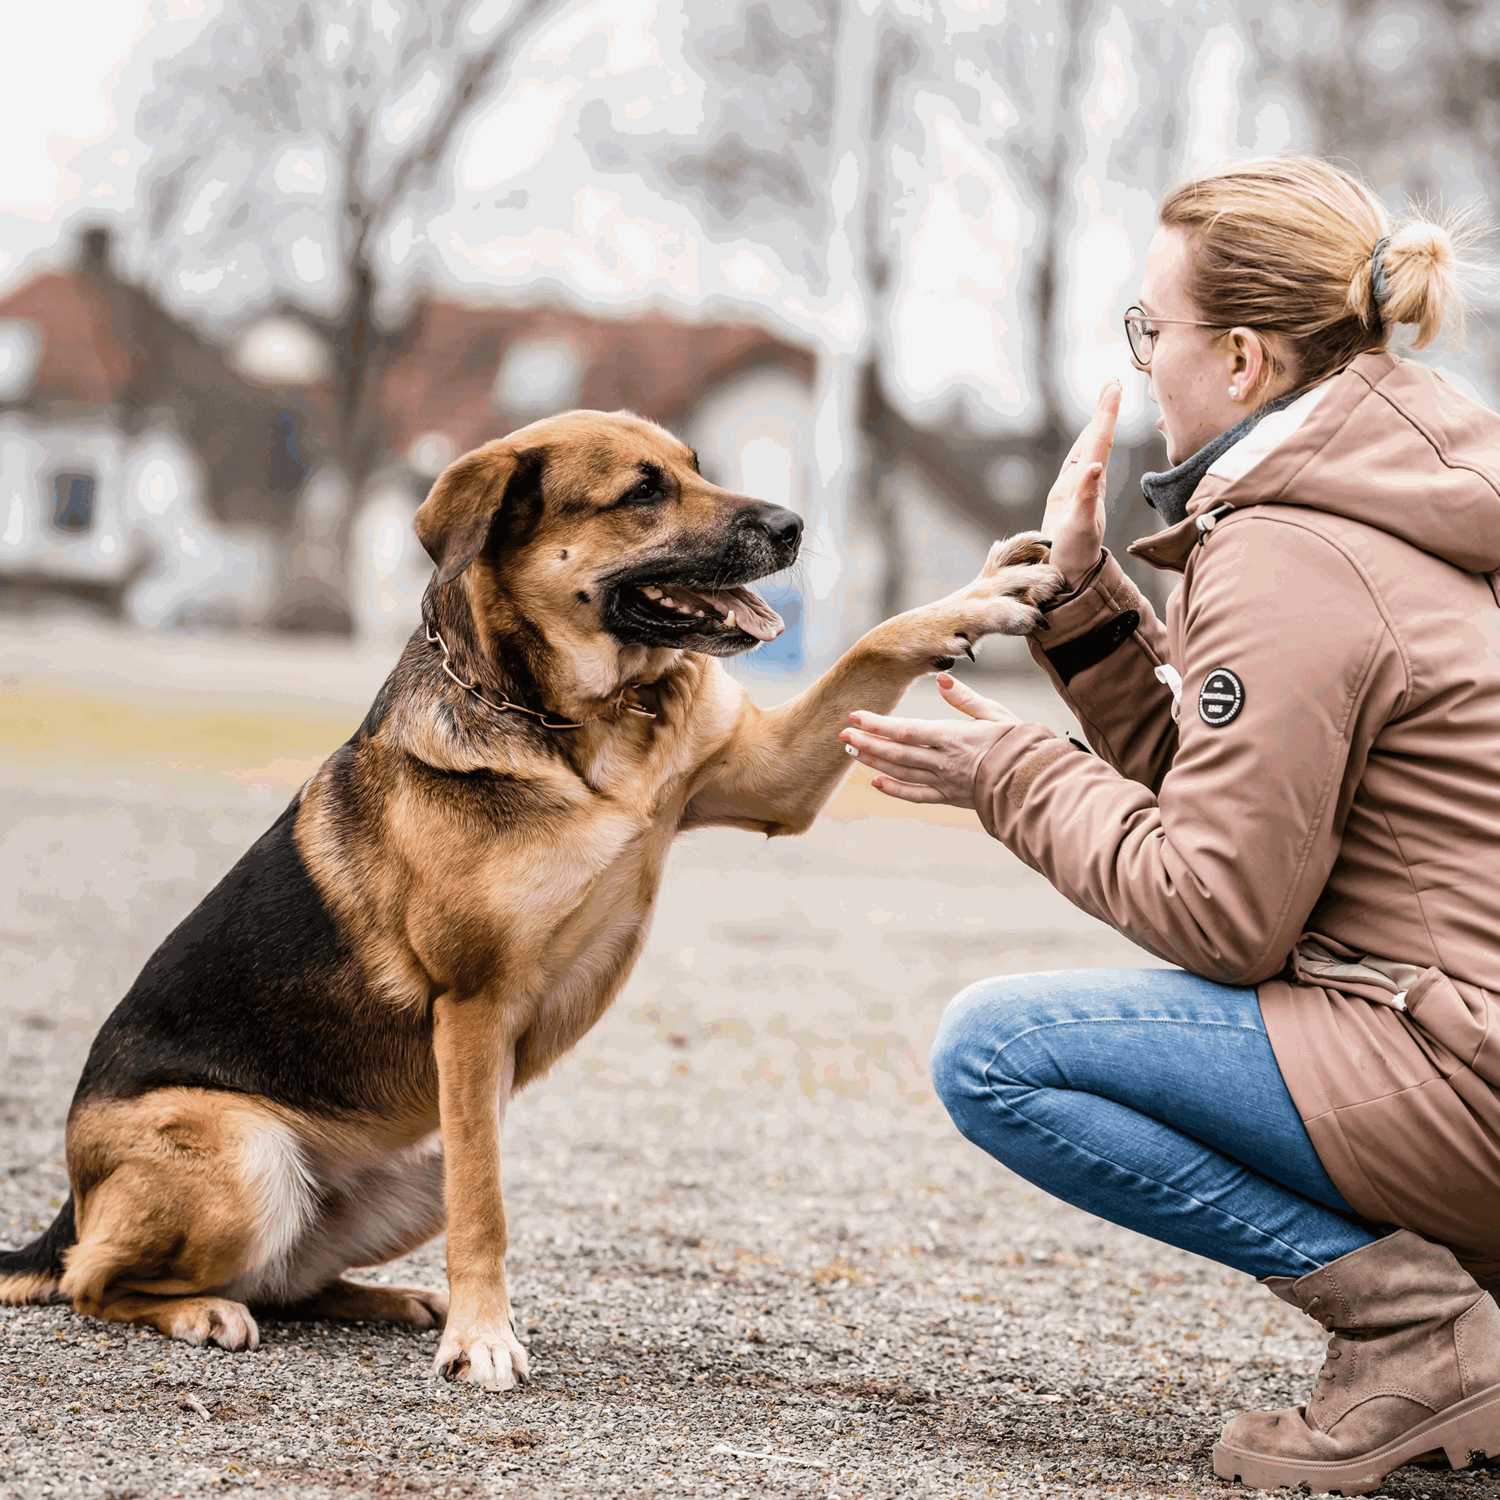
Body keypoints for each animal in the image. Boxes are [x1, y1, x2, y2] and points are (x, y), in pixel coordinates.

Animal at [0, 414, 1062, 1392]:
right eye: (643, 492)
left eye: (696, 468)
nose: (795, 525)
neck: (572, 722)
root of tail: (68, 1207)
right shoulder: (472, 1016)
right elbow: (489, 1210)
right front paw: (483, 1339)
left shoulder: (770, 780)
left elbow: (874, 645)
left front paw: (978, 597)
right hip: (253, 1154)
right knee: (100, 1281)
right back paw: (203, 1313)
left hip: (408, 1166)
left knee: (287, 1282)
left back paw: (387, 1299)